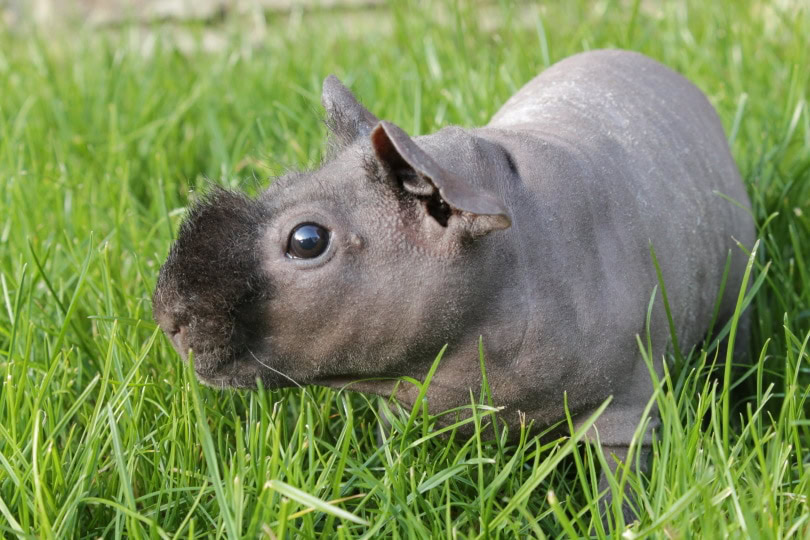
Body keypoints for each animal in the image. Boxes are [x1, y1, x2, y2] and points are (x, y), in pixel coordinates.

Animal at [152, 49, 755, 518]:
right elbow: (393, 445)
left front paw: (616, 523)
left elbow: (619, 484)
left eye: (306, 240)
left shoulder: (627, 406)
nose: (167, 318)